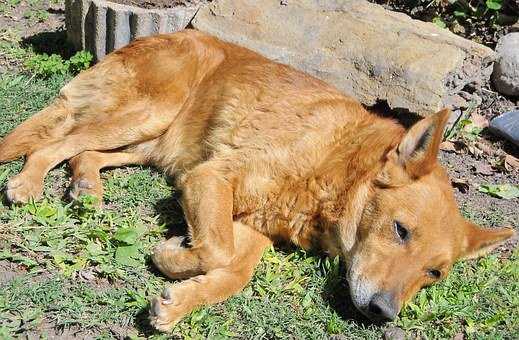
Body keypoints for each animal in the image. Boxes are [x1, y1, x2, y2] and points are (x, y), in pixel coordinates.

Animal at [0, 30, 512, 330]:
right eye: (400, 230)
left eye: (434, 273)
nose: (382, 314)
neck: (338, 164)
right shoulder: (211, 177)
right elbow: (216, 252)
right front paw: (173, 256)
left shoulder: (253, 227)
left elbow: (234, 270)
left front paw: (180, 297)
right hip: (147, 115)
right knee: (51, 144)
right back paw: (27, 184)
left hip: (151, 143)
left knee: (83, 153)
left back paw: (87, 187)